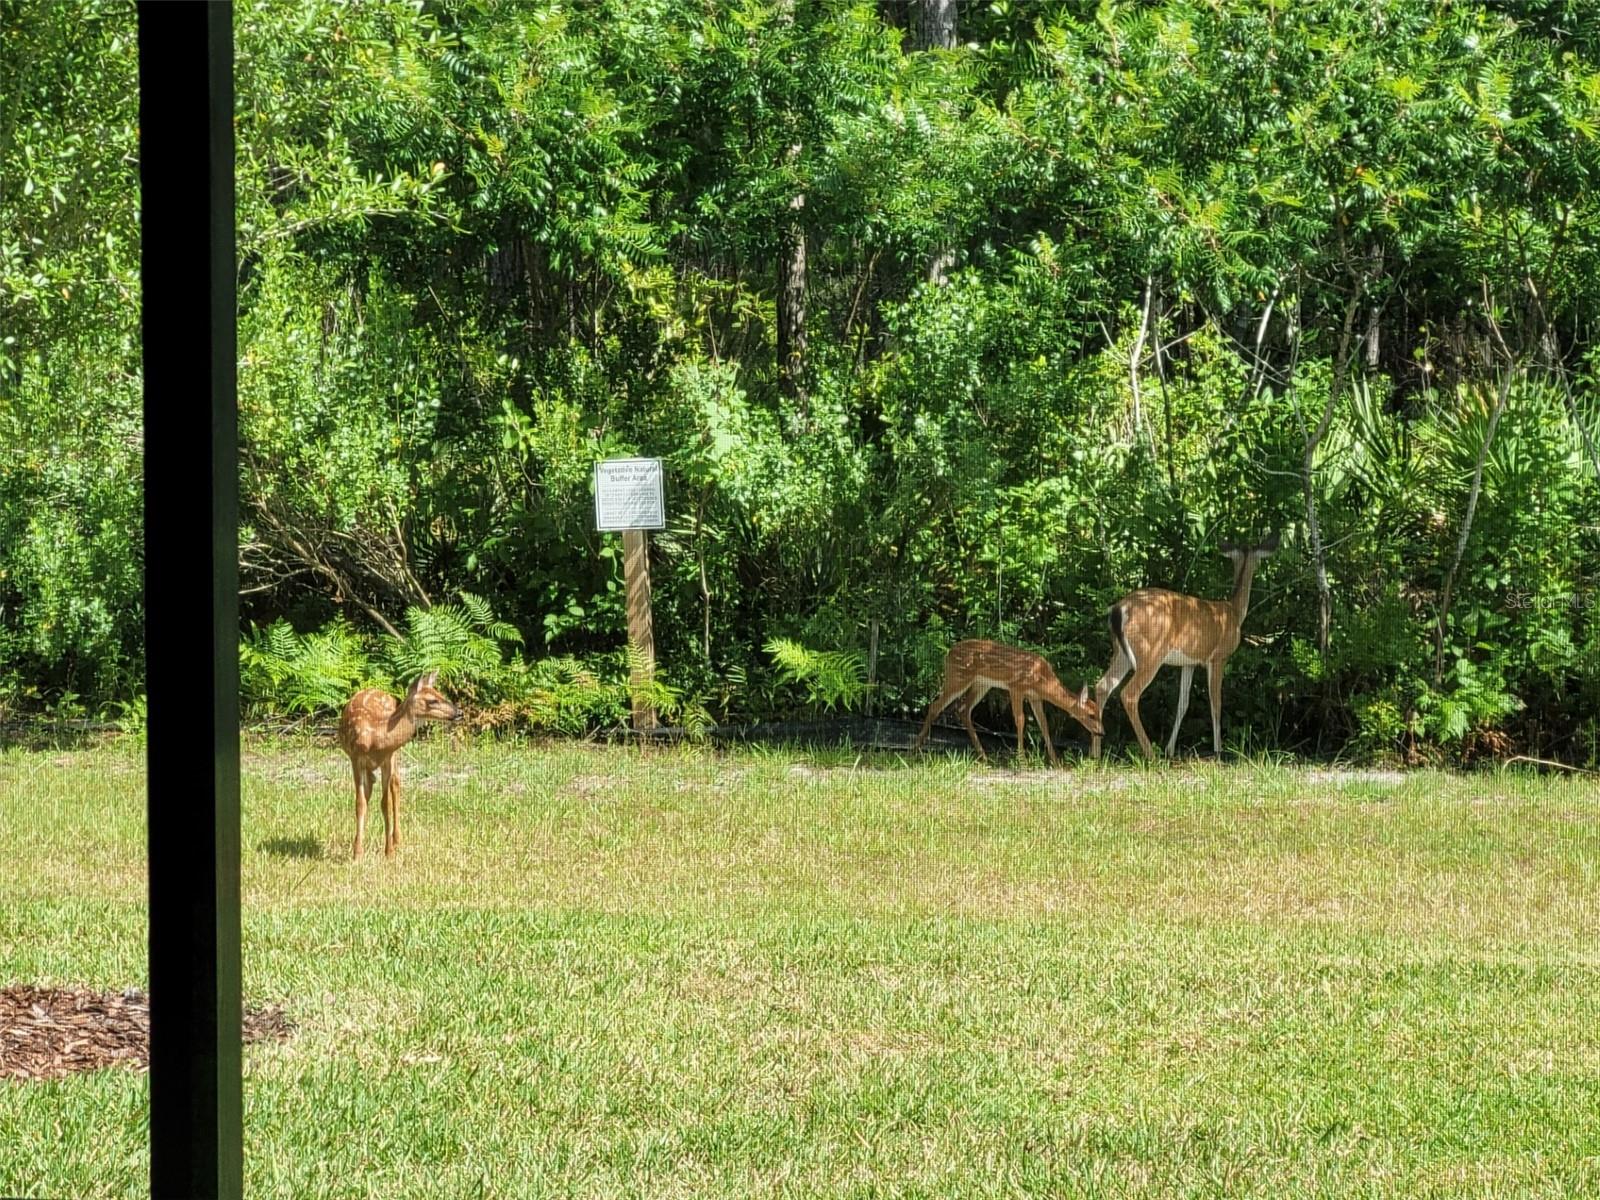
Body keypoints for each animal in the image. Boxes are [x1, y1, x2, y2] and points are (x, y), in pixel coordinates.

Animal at [337, 672, 464, 857]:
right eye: (432, 700)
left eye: (440, 694)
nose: (459, 712)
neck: (376, 738)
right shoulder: (356, 758)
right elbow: (360, 803)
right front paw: (357, 853)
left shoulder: (388, 757)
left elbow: (386, 803)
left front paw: (388, 851)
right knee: (370, 786)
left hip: (395, 755)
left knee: (395, 785)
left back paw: (397, 840)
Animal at [915, 643, 1100, 764]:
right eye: (1091, 715)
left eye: (1099, 714)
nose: (1101, 732)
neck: (1043, 681)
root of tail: (948, 654)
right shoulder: (1016, 687)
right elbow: (1020, 720)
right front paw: (1022, 761)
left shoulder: (1035, 697)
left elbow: (1044, 725)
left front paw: (1056, 762)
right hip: (958, 677)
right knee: (935, 706)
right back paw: (916, 748)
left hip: (981, 683)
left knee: (963, 710)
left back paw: (984, 757)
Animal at [1081, 534, 1280, 761]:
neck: (1233, 612)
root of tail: (1119, 610)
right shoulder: (1218, 657)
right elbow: (1216, 702)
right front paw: (1218, 750)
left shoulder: (1189, 663)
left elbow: (1183, 704)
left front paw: (1170, 749)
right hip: (1151, 652)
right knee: (1129, 693)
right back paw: (1150, 753)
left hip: (1120, 652)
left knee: (1103, 685)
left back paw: (1095, 753)